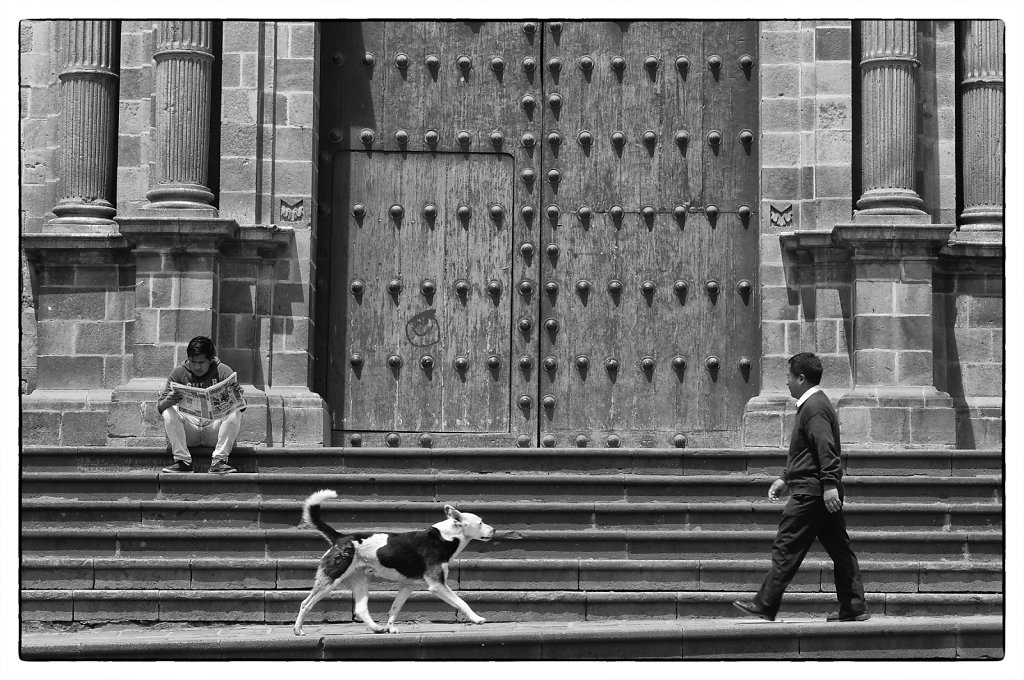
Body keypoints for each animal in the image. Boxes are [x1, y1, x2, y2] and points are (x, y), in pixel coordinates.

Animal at [292, 491, 495, 634]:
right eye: (480, 522)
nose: (494, 530)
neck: (444, 537)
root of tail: (341, 538)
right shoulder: (437, 585)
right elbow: (462, 602)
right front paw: (477, 618)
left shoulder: (407, 585)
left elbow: (394, 608)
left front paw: (390, 628)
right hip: (332, 578)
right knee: (305, 603)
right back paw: (298, 630)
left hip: (361, 579)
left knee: (361, 609)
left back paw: (376, 628)